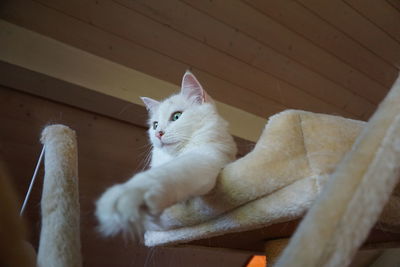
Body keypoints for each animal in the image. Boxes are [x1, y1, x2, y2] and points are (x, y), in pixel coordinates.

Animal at [95, 70, 236, 239]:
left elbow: (163, 174)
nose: (158, 133)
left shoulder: (206, 157)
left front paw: (125, 196)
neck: (174, 155)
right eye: (155, 125)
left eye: (176, 116)